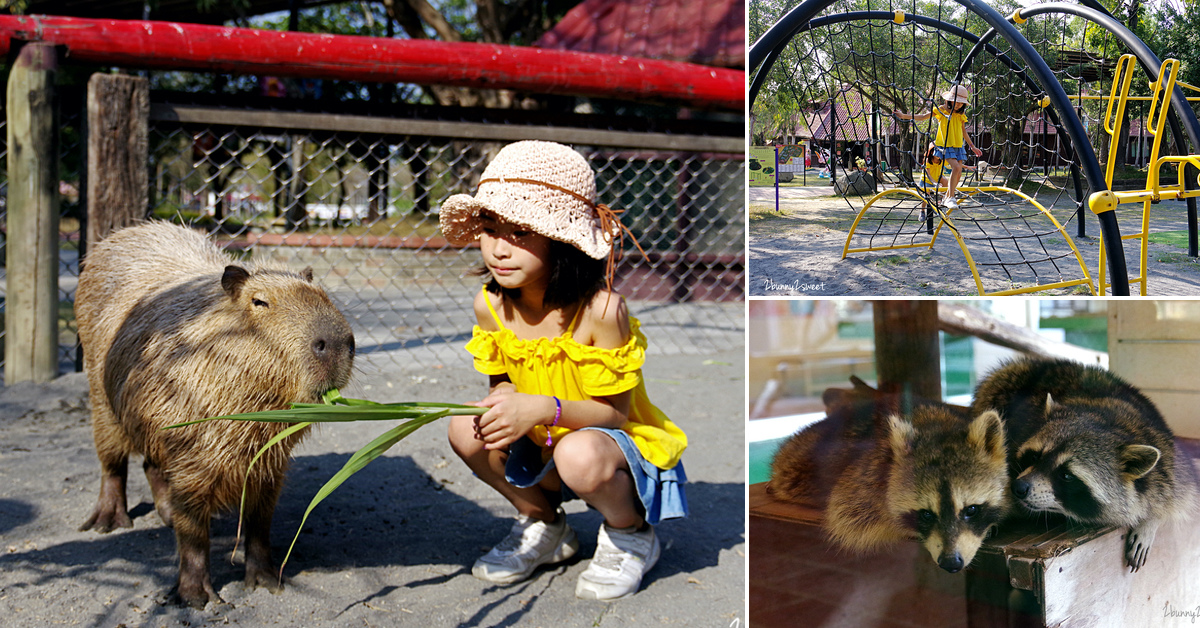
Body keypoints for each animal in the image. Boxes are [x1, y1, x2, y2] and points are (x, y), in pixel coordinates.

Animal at [763, 379, 1008, 573]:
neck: (937, 424)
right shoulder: (862, 477)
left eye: (971, 510)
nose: (951, 563)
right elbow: (847, 515)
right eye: (926, 514)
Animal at [969, 357, 1195, 569]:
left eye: (1066, 475)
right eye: (1034, 457)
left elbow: (1180, 491)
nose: (1019, 487)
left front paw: (1152, 519)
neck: (1103, 420)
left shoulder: (1165, 453)